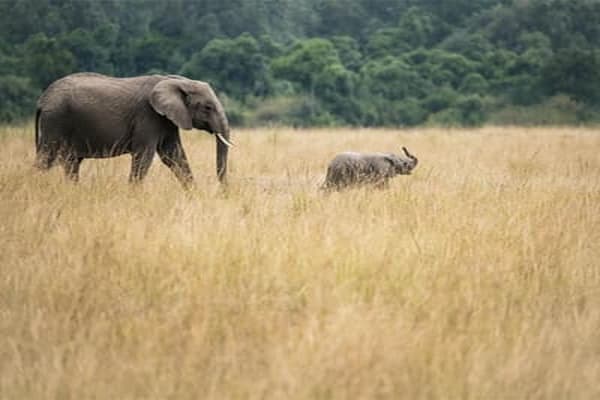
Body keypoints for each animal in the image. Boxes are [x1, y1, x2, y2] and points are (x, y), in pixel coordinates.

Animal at [34, 72, 233, 188]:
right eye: (208, 107)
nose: (223, 192)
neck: (178, 81)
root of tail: (42, 100)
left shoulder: (167, 119)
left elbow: (173, 155)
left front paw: (193, 194)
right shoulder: (148, 116)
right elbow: (144, 155)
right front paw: (133, 195)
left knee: (70, 162)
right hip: (56, 121)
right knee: (46, 158)